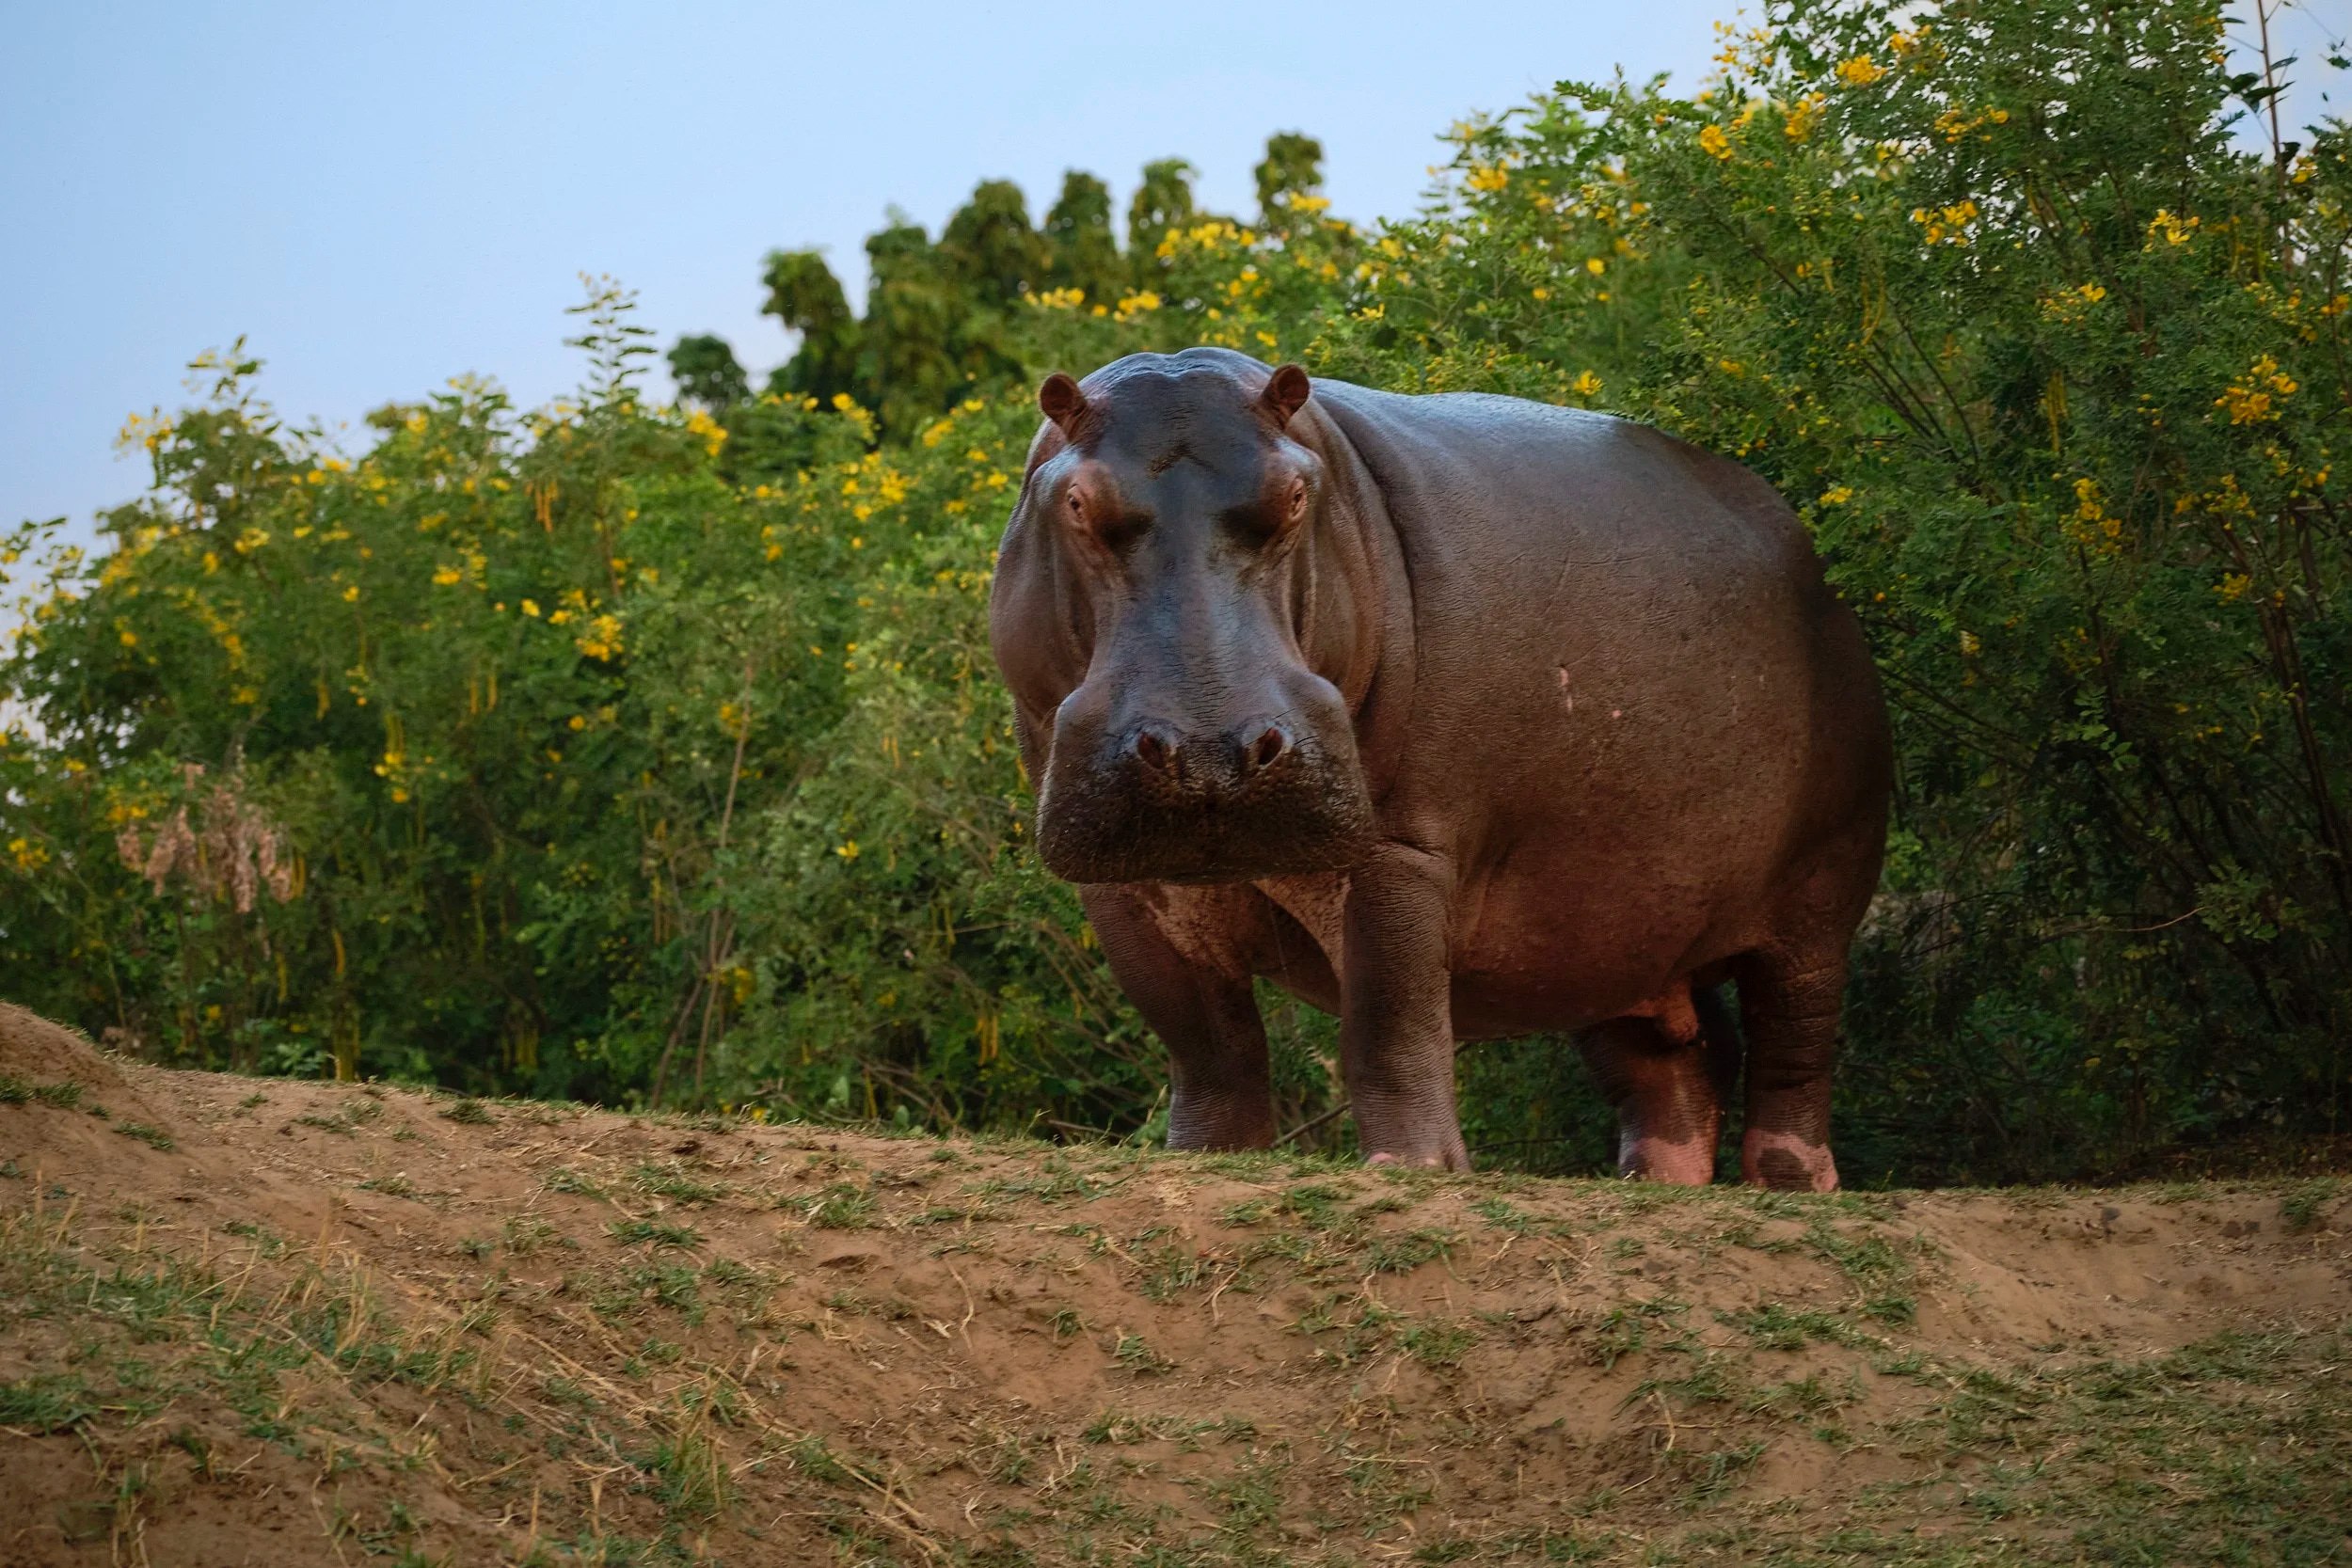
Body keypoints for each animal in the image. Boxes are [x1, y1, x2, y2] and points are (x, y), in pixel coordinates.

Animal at [987, 348, 1891, 1189]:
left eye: (1296, 496)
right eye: (1076, 502)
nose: (1211, 747)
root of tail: (1808, 553)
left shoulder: (1402, 847)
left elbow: (1389, 1018)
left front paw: (1413, 1168)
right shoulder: (1125, 888)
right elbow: (1207, 1046)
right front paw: (1209, 1159)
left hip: (1820, 896)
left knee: (1795, 1044)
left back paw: (1792, 1181)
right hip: (1611, 928)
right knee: (1670, 1068)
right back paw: (1654, 1185)